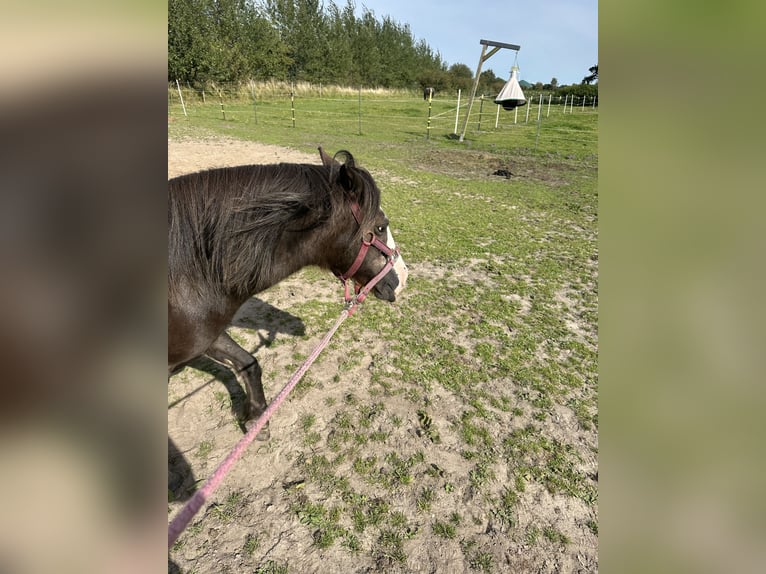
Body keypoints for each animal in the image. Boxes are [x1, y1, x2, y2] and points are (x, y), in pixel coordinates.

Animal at [168, 148, 408, 436]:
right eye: (381, 227)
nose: (403, 278)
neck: (192, 272)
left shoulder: (206, 337)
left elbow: (248, 362)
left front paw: (257, 417)